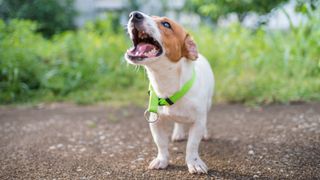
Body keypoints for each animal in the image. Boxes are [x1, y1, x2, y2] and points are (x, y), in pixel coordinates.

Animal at [125, 10, 215, 173]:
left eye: (166, 24)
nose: (134, 15)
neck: (167, 84)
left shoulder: (198, 121)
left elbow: (192, 145)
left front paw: (194, 163)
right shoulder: (155, 121)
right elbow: (160, 143)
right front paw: (162, 160)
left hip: (208, 104)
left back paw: (205, 133)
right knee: (178, 122)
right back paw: (178, 133)